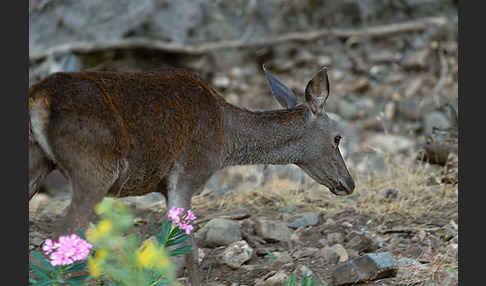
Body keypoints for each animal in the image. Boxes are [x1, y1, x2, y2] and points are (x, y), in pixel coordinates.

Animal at [30, 65, 356, 282]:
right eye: (338, 137)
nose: (349, 183)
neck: (226, 141)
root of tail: (39, 98)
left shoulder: (166, 185)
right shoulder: (189, 174)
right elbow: (185, 247)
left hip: (38, 161)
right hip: (94, 168)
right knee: (61, 237)